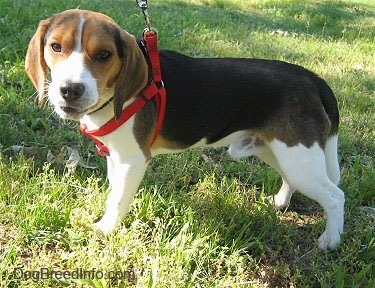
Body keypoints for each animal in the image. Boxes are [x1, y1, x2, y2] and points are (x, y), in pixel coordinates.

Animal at [25, 9, 346, 250]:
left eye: (104, 54)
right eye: (56, 47)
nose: (70, 90)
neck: (115, 95)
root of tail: (311, 78)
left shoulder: (133, 160)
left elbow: (117, 199)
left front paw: (105, 229)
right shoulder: (116, 157)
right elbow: (115, 191)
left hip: (298, 157)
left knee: (335, 196)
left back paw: (330, 240)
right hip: (278, 152)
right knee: (291, 180)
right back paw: (280, 202)